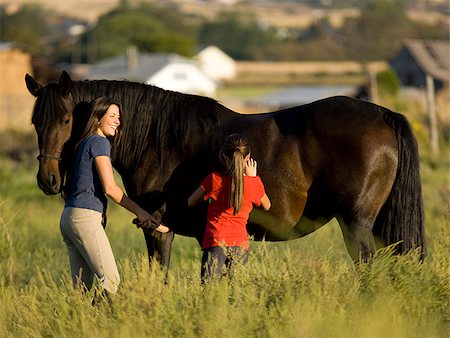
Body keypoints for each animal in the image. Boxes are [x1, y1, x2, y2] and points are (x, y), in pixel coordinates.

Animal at [23, 70, 426, 270]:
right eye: (35, 121)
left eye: (65, 119)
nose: (48, 180)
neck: (157, 137)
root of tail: (382, 114)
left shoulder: (158, 230)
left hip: (356, 225)